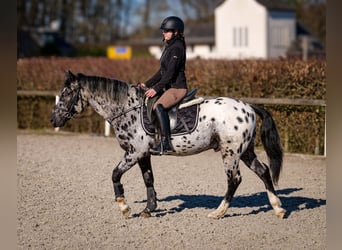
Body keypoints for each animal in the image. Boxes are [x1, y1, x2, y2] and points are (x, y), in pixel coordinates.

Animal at [50, 70, 286, 219]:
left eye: (67, 93)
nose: (53, 120)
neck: (126, 108)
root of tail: (249, 107)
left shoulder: (134, 153)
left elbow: (115, 174)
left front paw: (124, 207)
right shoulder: (143, 154)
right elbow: (148, 179)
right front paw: (149, 209)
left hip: (230, 152)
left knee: (234, 180)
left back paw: (218, 213)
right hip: (245, 151)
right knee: (263, 171)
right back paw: (278, 209)